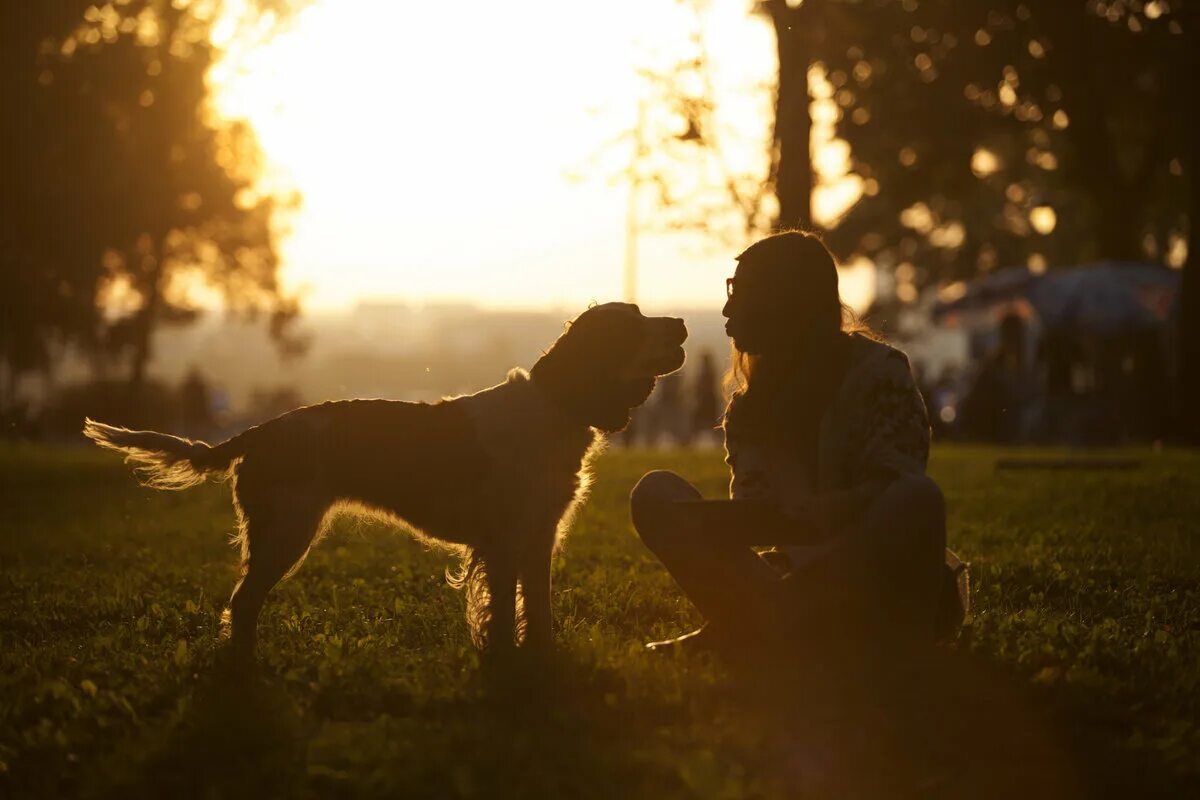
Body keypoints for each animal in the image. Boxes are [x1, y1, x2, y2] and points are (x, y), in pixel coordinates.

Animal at [82, 303, 686, 666]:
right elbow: (502, 614)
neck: (555, 406)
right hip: (285, 533)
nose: (681, 323)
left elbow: (537, 611)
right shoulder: (503, 543)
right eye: (633, 322)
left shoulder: (538, 539)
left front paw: (540, 660)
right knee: (242, 601)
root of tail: (259, 432)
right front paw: (503, 665)